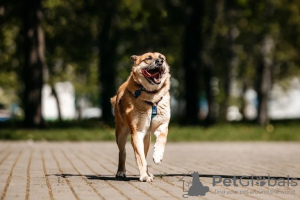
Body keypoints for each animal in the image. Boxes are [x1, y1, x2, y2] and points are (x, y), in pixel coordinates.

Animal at [110, 51, 171, 181]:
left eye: (162, 58)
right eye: (148, 58)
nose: (160, 61)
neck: (151, 97)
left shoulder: (162, 125)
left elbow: (162, 139)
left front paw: (157, 156)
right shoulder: (137, 132)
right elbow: (140, 157)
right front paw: (144, 176)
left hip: (147, 138)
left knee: (145, 152)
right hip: (121, 133)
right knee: (122, 152)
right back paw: (121, 171)